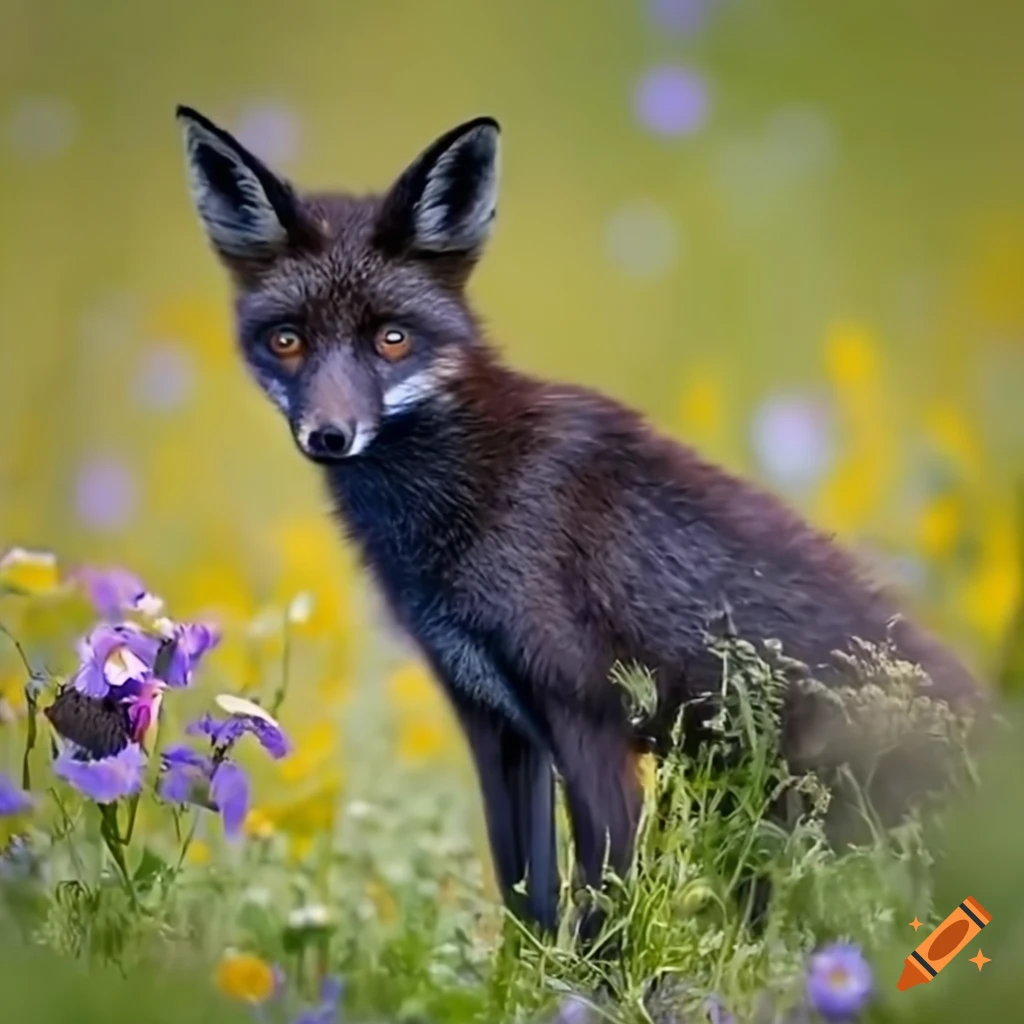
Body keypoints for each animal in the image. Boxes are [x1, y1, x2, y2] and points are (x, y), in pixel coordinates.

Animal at [175, 106, 981, 940]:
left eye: (391, 339)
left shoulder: (586, 716)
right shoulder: (494, 719)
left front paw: (590, 973)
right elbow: (526, 904)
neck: (467, 497)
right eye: (288, 340)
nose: (329, 435)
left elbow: (603, 907)